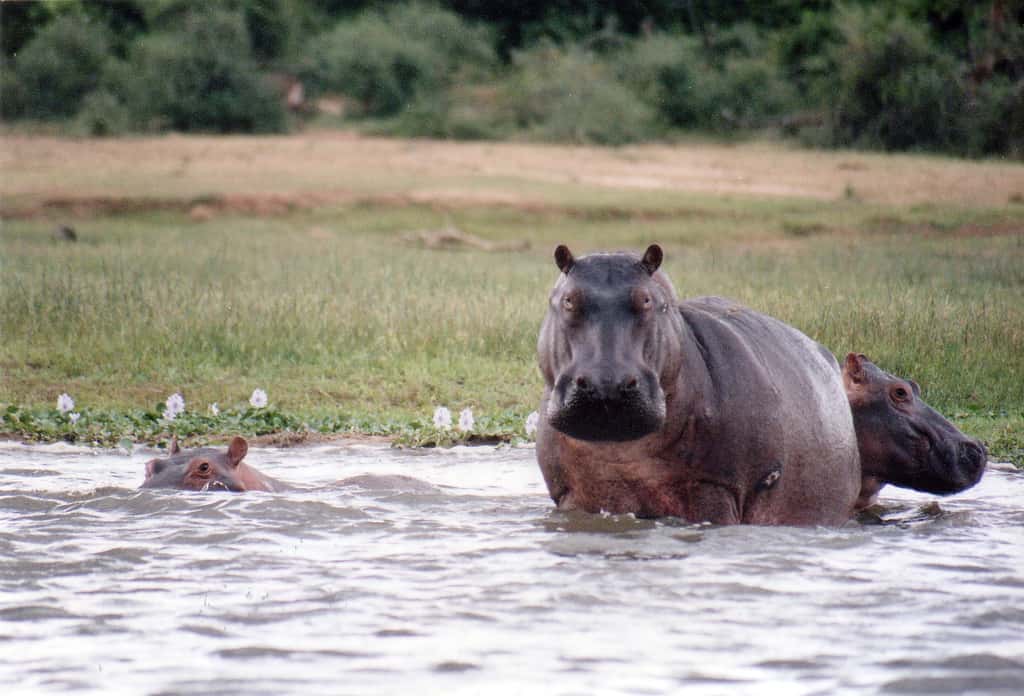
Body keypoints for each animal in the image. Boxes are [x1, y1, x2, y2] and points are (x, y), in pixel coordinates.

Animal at [540, 244, 860, 522]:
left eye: (647, 300)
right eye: (568, 300)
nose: (606, 384)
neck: (621, 450)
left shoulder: (716, 488)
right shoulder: (572, 494)